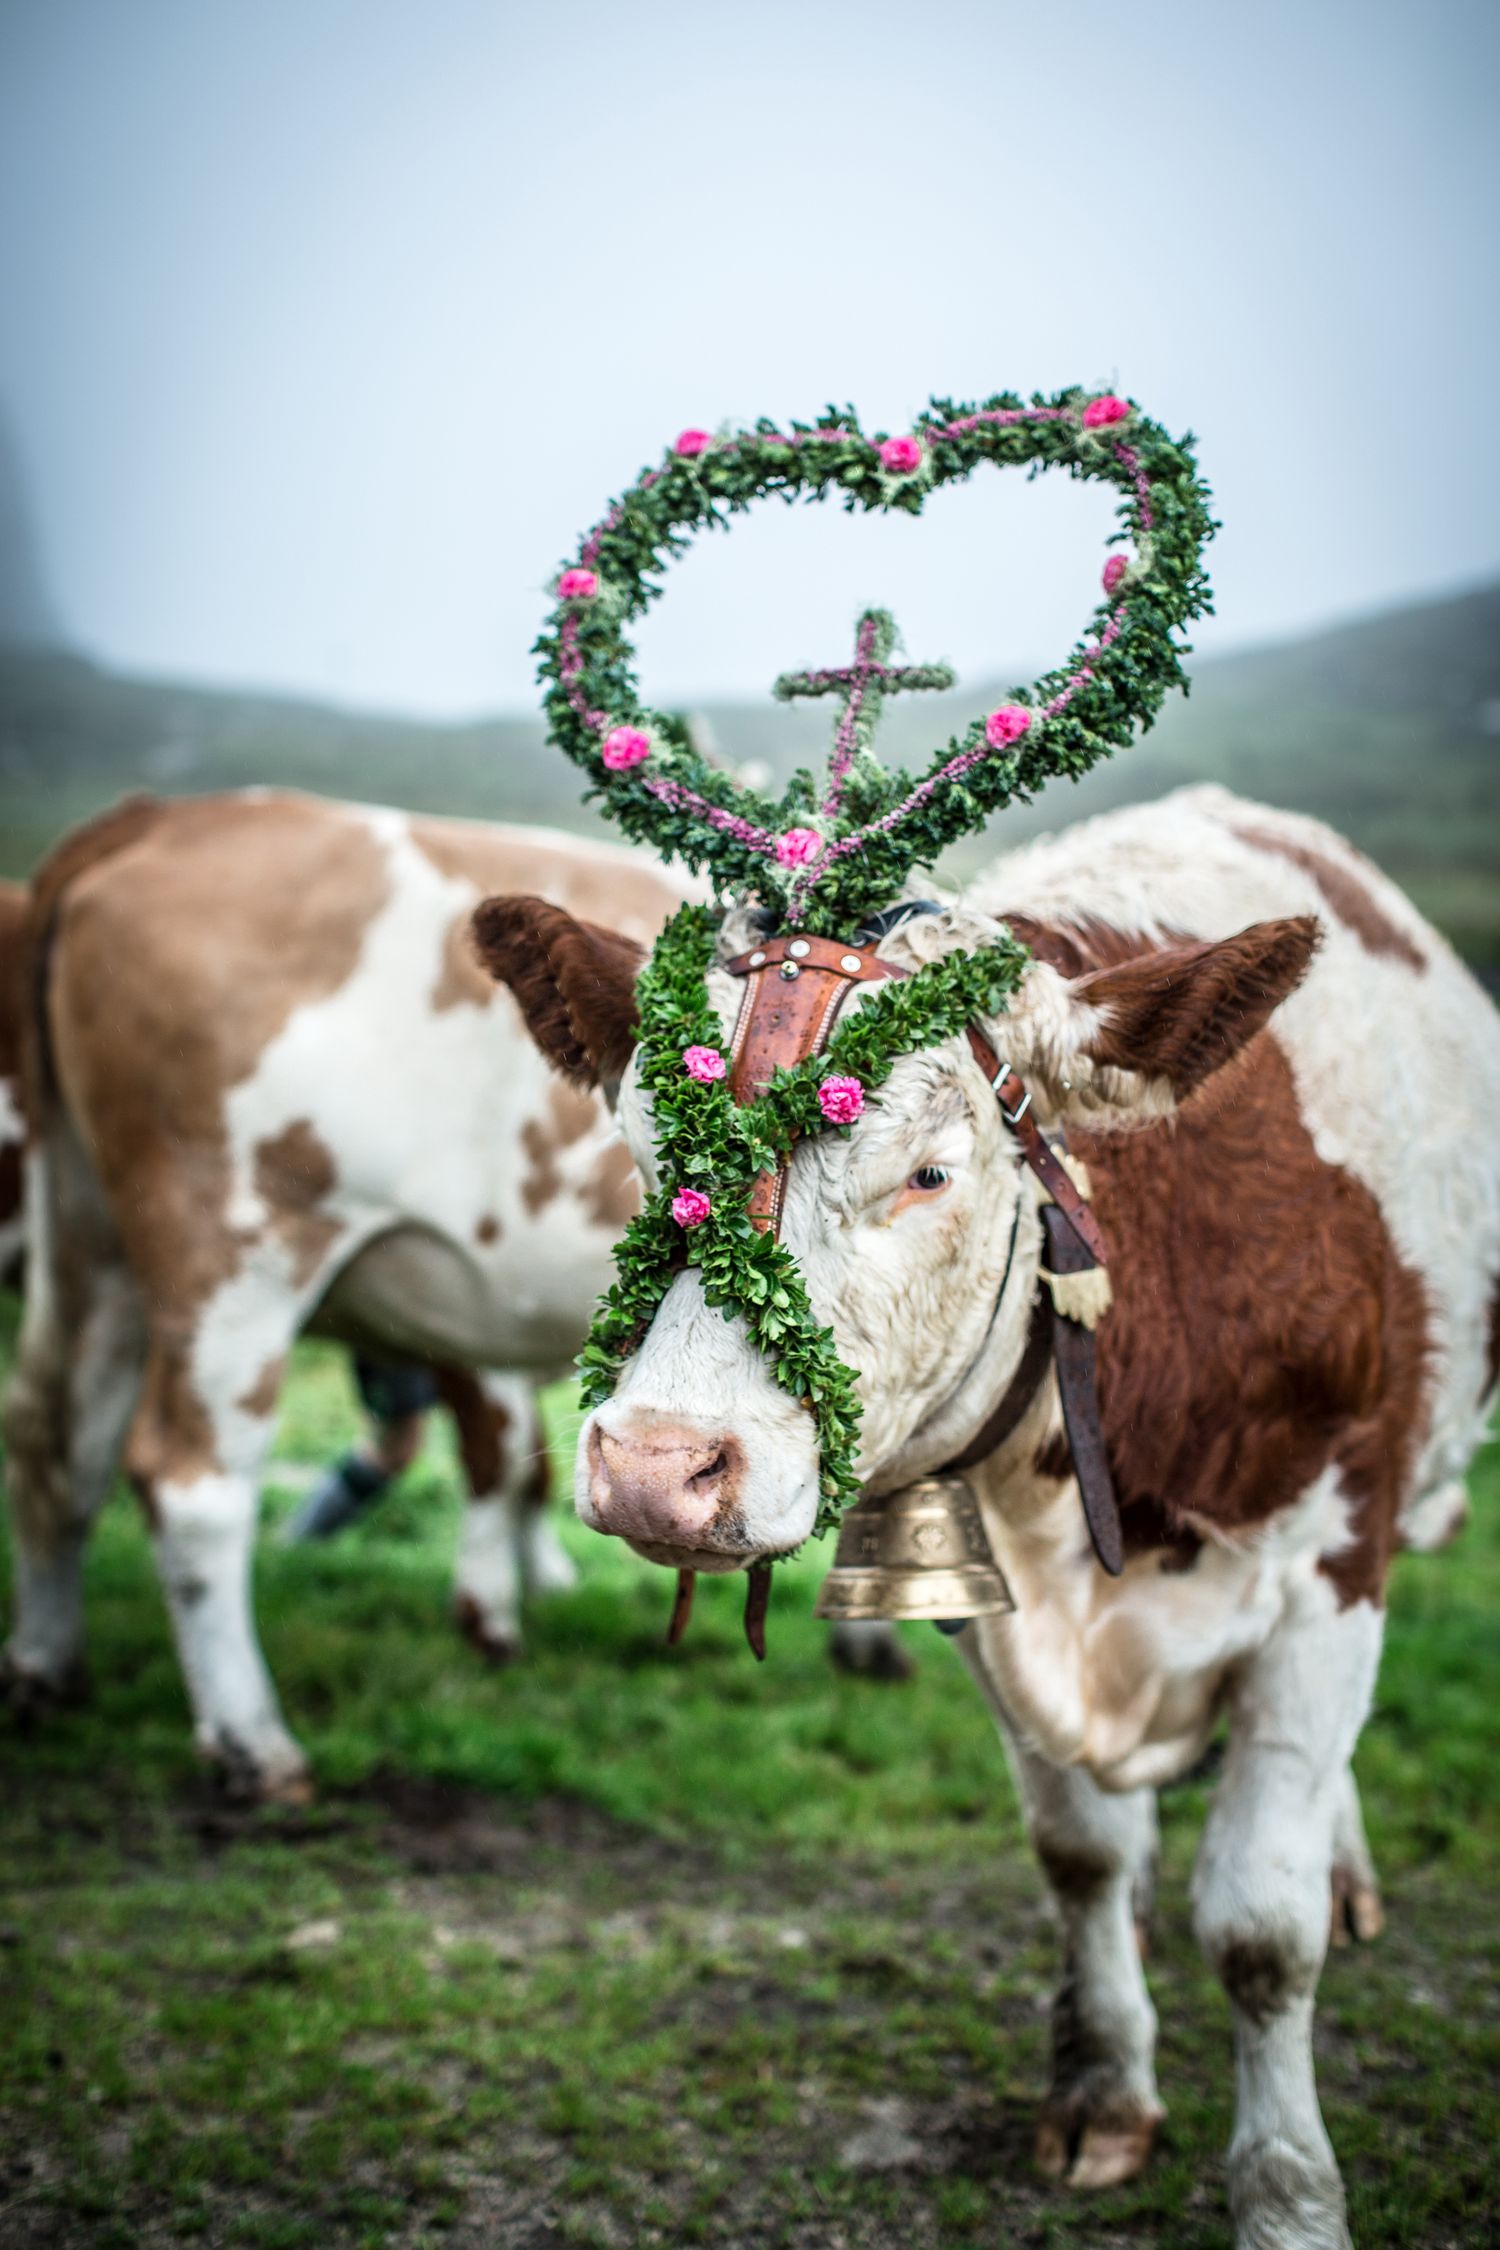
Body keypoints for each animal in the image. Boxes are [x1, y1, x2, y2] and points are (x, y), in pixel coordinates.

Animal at [1, 790, 696, 1801]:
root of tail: (171, 814)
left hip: (92, 1241)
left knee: (55, 1442)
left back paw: (47, 1670)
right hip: (236, 1248)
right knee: (191, 1482)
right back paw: (253, 1743)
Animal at [475, 785, 1500, 2250]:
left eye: (930, 1174)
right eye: (649, 1153)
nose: (655, 1466)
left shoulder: (1328, 1575)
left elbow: (1263, 1926)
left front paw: (1290, 2195)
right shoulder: (989, 1597)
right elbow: (1079, 1855)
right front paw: (1105, 2090)